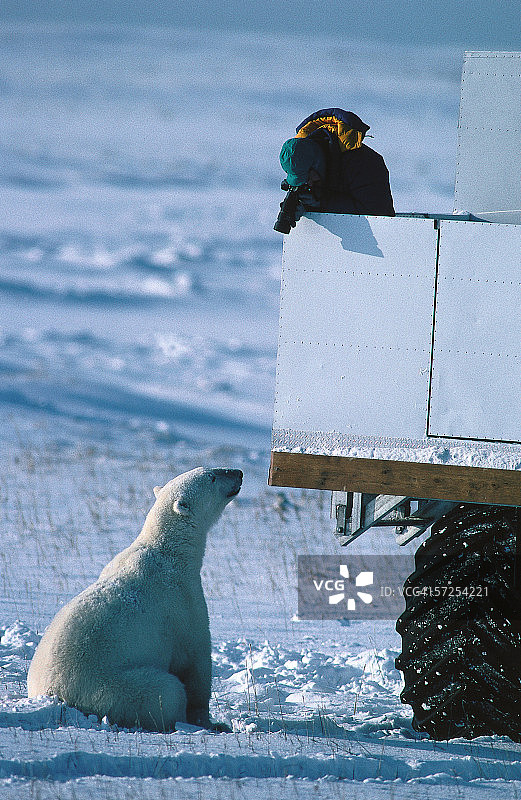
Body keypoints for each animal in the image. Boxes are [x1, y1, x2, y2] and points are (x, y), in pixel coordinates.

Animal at [27, 467, 242, 732]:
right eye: (211, 477)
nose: (239, 473)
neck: (169, 552)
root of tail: (54, 693)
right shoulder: (182, 603)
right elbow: (196, 663)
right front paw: (212, 722)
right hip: (112, 688)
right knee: (167, 691)